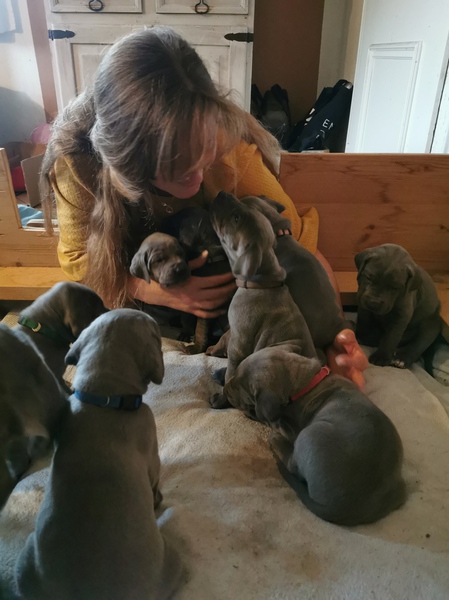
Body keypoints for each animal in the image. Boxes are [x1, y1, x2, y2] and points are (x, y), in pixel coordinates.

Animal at [14, 309, 182, 600]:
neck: (103, 397)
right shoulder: (152, 453)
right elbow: (154, 481)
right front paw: (158, 498)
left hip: (24, 563)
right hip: (173, 557)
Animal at [130, 207, 230, 353]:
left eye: (182, 253)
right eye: (158, 260)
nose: (179, 269)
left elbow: (201, 327)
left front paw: (196, 346)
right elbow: (188, 317)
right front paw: (188, 333)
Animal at [208, 191, 318, 408]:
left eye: (236, 218)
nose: (223, 193)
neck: (261, 283)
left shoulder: (237, 344)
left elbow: (230, 373)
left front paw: (221, 399)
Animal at [222, 345, 406, 526]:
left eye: (238, 387)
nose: (224, 388)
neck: (305, 382)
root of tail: (346, 510)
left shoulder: (290, 428)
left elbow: (269, 419)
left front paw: (252, 413)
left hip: (307, 435)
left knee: (292, 465)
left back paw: (276, 441)